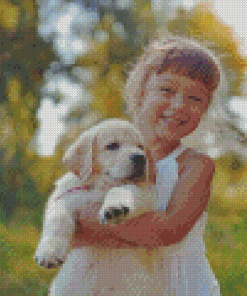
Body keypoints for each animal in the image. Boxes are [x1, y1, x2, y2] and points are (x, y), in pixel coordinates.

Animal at [33, 119, 158, 294]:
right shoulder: (62, 197)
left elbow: (121, 189)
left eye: (140, 146)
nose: (141, 158)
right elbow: (58, 219)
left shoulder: (147, 195)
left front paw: (114, 208)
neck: (100, 185)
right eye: (112, 145)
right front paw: (49, 252)